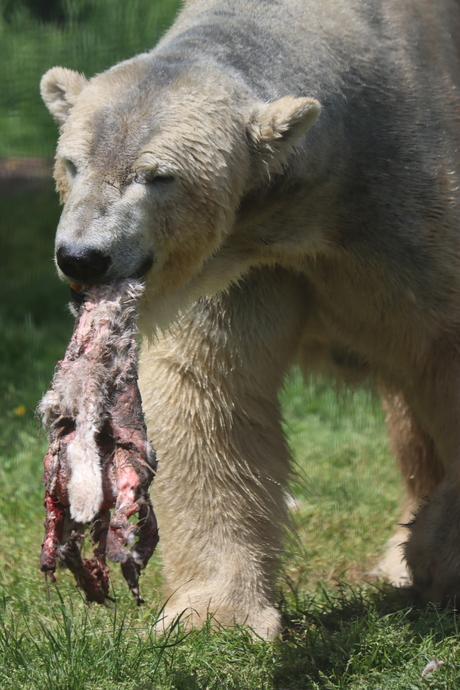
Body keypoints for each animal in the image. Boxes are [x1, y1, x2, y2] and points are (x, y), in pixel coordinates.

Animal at [38, 0, 460, 636]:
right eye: (72, 163)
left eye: (157, 176)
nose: (82, 256)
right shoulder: (239, 263)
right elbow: (209, 390)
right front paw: (215, 613)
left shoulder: (407, 215)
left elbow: (443, 351)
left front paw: (437, 555)